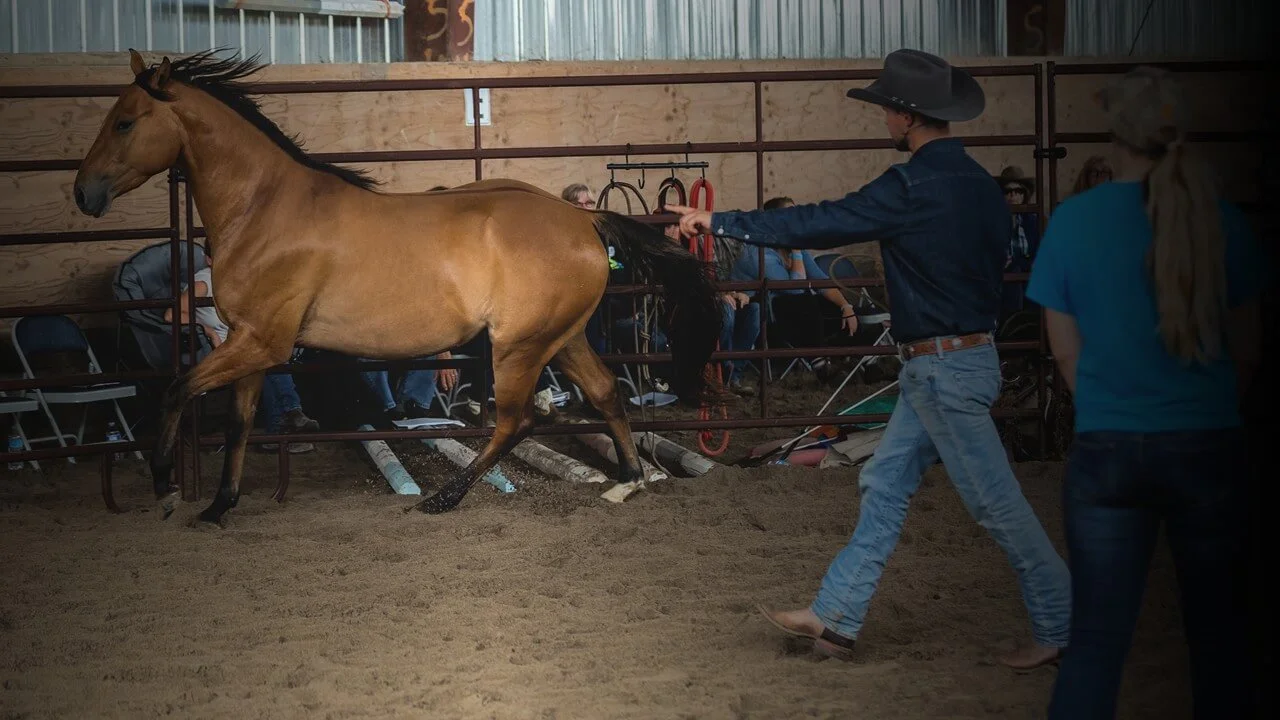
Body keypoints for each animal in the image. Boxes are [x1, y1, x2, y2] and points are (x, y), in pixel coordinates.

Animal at [74, 50, 722, 523]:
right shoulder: (249, 344)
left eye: (125, 121)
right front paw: (217, 506)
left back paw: (444, 498)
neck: (265, 208)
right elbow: (238, 422)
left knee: (516, 422)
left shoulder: (260, 343)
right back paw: (628, 481)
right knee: (607, 392)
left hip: (519, 346)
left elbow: (175, 389)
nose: (84, 193)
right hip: (562, 337)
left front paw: (165, 488)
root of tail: (582, 221)